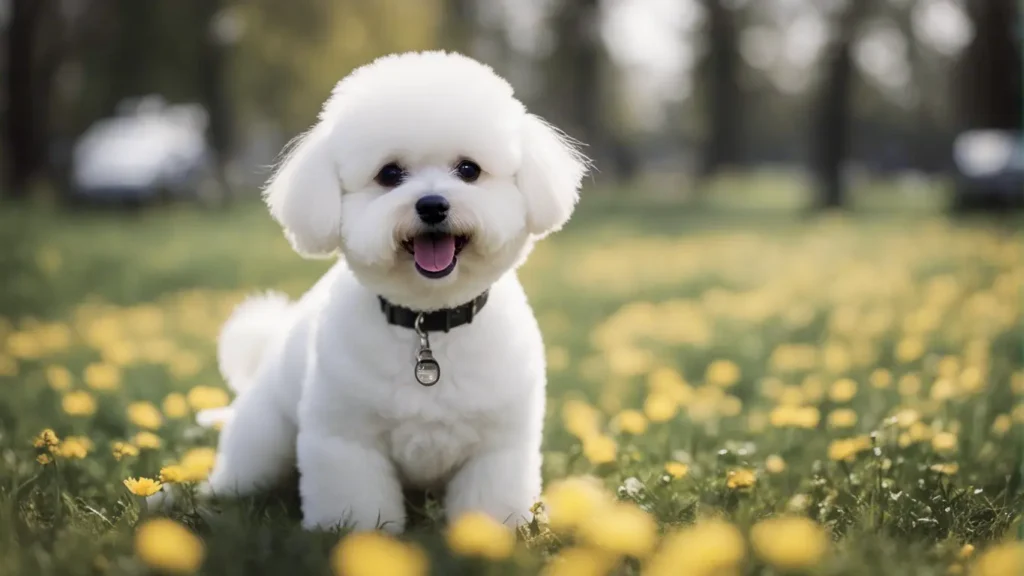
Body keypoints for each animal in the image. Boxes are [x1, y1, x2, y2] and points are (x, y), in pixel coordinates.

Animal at [181, 51, 589, 532]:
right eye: (390, 174)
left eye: (469, 169)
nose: (432, 205)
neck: (427, 323)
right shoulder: (345, 441)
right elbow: (356, 507)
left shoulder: (498, 447)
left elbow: (489, 501)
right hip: (263, 444)